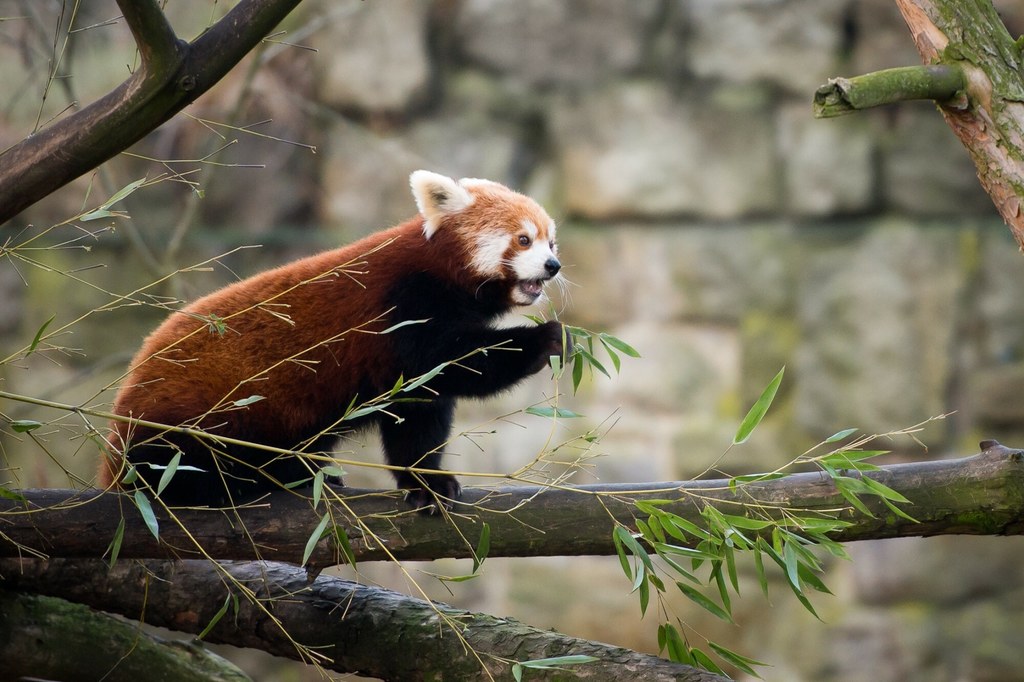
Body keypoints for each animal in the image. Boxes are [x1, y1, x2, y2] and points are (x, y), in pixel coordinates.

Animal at [98, 169, 565, 509]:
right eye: (523, 239)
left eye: (551, 241)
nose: (553, 266)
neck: (442, 274)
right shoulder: (403, 306)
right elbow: (454, 360)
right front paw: (545, 339)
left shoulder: (406, 372)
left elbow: (419, 416)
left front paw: (427, 484)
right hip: (191, 415)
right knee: (178, 464)